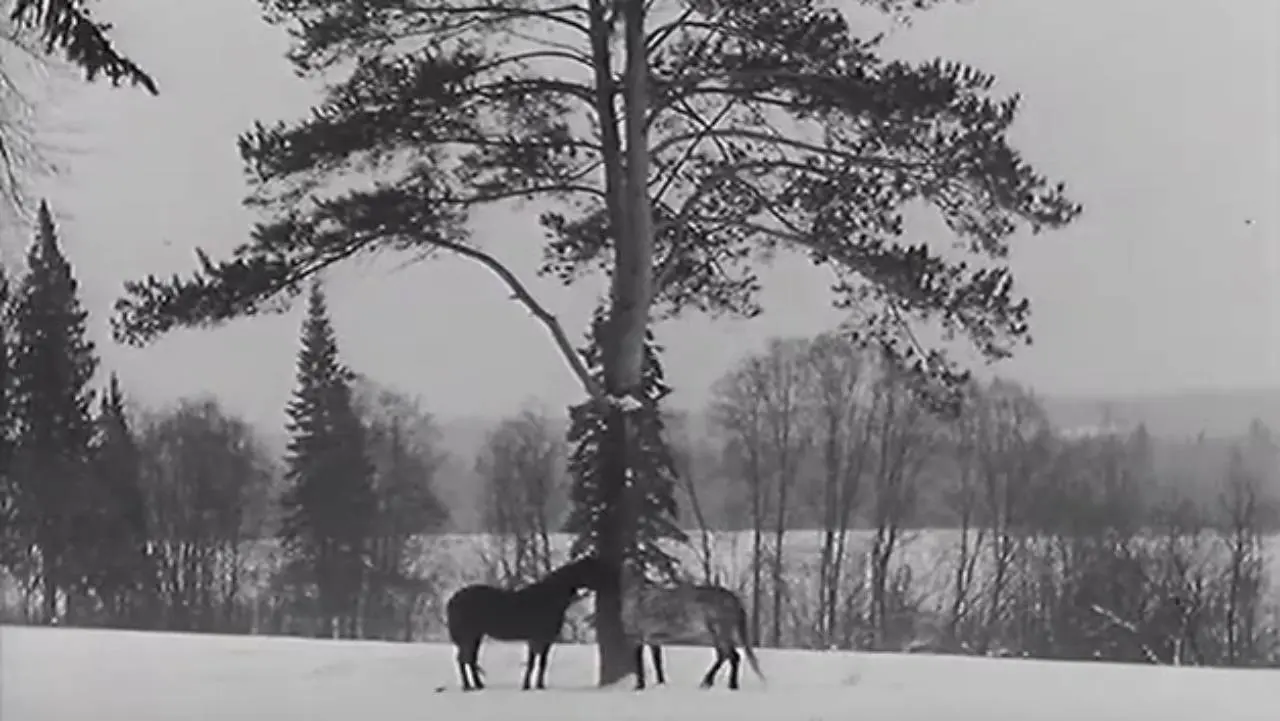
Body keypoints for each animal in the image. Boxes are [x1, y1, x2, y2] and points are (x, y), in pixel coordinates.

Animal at [445, 555, 611, 691]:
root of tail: (452, 600)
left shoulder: (546, 640)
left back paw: (478, 685)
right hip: (469, 636)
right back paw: (468, 686)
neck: (548, 599)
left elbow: (542, 663)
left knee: (469, 659)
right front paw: (526, 686)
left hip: (475, 636)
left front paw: (539, 685)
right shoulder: (535, 638)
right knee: (464, 659)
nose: (608, 581)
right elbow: (531, 663)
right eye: (592, 569)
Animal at [620, 570, 765, 691]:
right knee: (723, 656)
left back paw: (731, 685)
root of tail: (734, 599)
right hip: (715, 634)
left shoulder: (637, 637)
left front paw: (639, 686)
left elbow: (639, 663)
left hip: (720, 631)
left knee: (733, 656)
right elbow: (658, 663)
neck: (636, 597)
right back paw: (708, 682)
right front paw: (661, 683)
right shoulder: (654, 639)